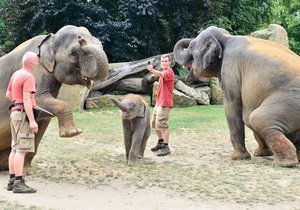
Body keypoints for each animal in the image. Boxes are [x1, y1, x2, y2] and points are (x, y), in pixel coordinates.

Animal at [0, 25, 109, 169]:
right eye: (73, 54)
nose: (81, 39)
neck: (51, 38)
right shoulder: (35, 70)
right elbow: (36, 100)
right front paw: (73, 132)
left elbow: (42, 120)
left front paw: (26, 169)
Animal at [172, 25, 300, 167]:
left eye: (191, 47)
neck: (227, 38)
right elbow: (246, 115)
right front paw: (261, 154)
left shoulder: (230, 69)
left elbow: (233, 107)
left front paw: (237, 157)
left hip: (290, 102)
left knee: (257, 119)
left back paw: (283, 163)